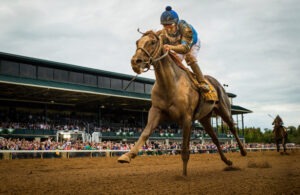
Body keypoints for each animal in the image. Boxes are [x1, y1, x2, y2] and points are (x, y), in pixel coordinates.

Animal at [117, 30, 246, 177]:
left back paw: (243, 151)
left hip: (224, 110)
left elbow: (184, 147)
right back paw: (227, 161)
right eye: (137, 42)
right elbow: (145, 133)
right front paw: (127, 156)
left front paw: (184, 174)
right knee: (215, 139)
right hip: (204, 119)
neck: (170, 84)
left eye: (153, 42)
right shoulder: (156, 111)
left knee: (232, 128)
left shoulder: (187, 117)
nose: (135, 62)